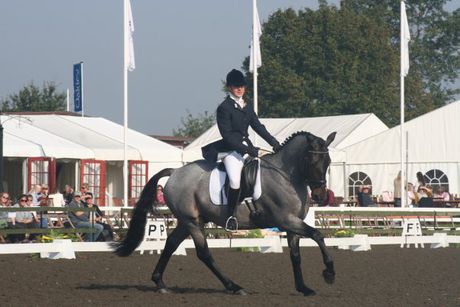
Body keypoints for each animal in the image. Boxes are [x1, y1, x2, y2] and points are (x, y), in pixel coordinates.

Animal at [114, 131, 338, 298]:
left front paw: (304, 288)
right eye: (311, 159)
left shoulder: (292, 224)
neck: (285, 175)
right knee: (203, 253)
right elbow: (318, 234)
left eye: (328, 161)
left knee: (171, 243)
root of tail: (175, 172)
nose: (320, 195)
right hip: (192, 222)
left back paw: (160, 282)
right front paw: (329, 273)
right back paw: (234, 287)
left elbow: (296, 255)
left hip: (189, 221)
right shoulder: (286, 220)